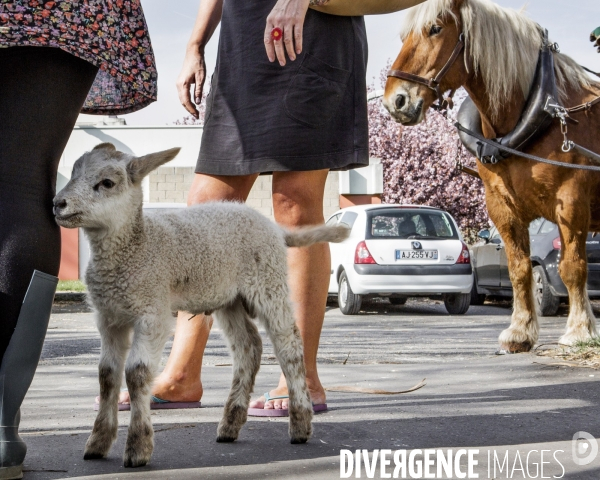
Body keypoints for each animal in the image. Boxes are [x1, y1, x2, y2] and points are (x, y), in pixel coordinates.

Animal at [53, 143, 350, 468]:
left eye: (106, 183)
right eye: (73, 173)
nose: (58, 203)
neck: (137, 245)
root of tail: (272, 227)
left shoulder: (152, 311)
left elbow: (136, 374)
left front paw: (138, 447)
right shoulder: (108, 317)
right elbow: (107, 375)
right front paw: (97, 443)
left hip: (268, 282)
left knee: (289, 345)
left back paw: (299, 423)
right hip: (229, 298)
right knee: (248, 347)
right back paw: (230, 424)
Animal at [382, 0, 600, 352]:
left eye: (435, 29)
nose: (395, 101)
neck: (543, 111)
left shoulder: (572, 201)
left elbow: (572, 267)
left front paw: (579, 330)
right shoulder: (502, 206)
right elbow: (519, 269)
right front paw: (520, 331)